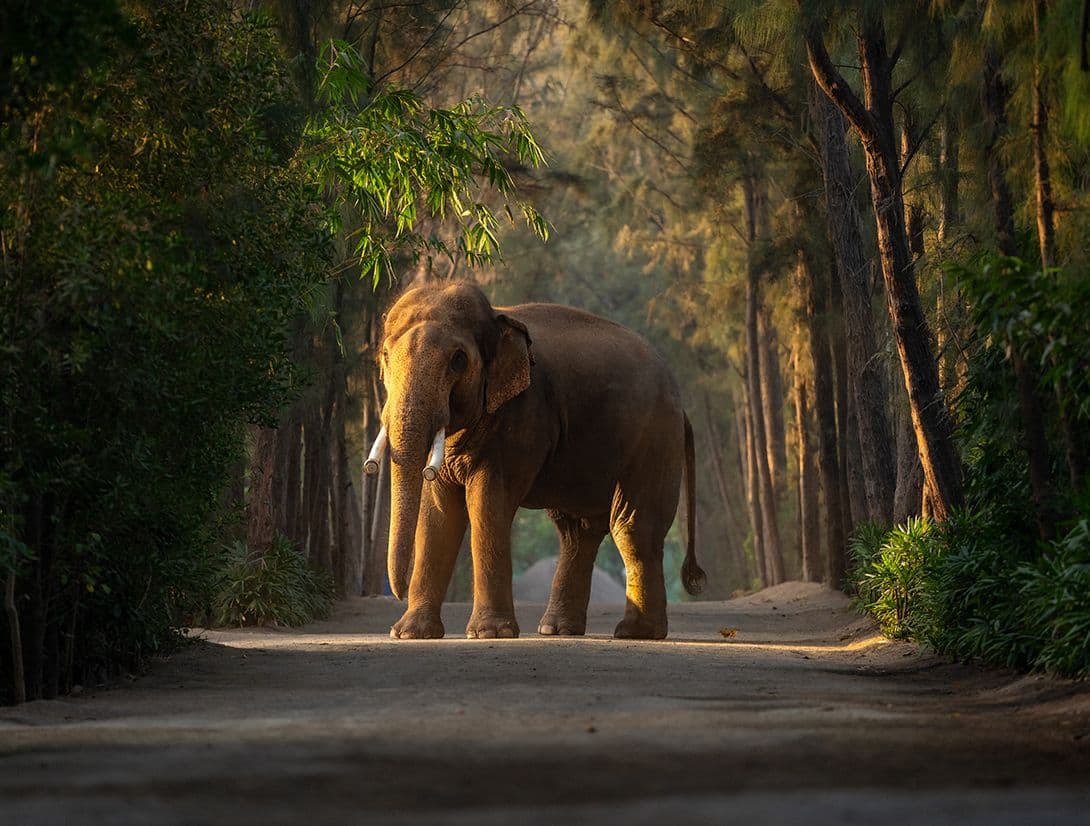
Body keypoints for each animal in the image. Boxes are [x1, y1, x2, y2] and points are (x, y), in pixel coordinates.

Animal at [372, 281, 705, 640]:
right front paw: (409, 633)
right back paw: (557, 629)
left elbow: (488, 504)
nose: (396, 592)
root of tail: (682, 406)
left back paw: (635, 632)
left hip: (654, 440)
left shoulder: (523, 416)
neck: (496, 317)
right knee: (578, 531)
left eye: (458, 360)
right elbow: (438, 514)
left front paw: (490, 633)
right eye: (385, 357)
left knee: (632, 526)